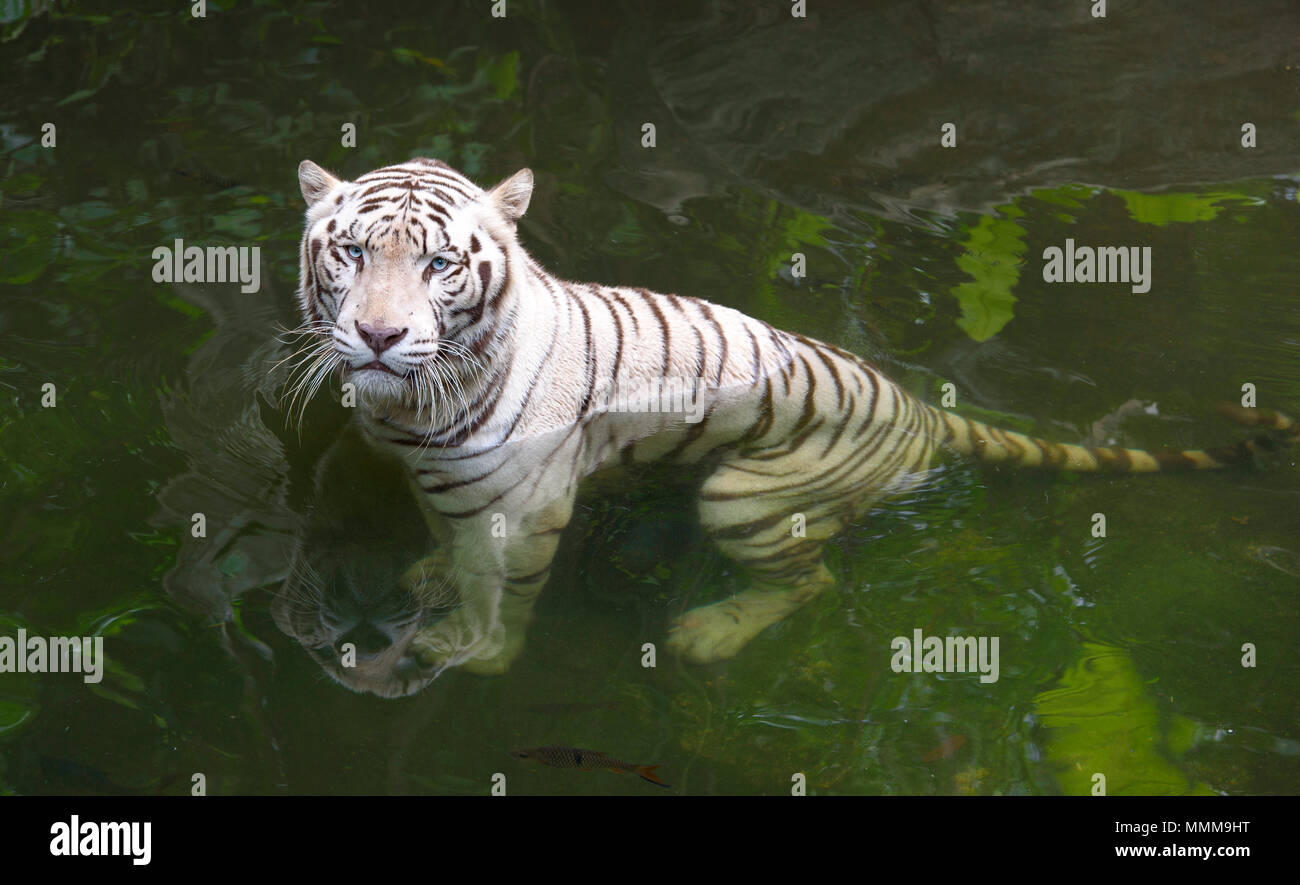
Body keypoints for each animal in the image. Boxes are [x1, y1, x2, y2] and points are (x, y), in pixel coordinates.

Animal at [286, 156, 1298, 697]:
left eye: (439, 264)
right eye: (351, 252)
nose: (378, 335)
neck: (408, 407)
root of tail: (921, 404)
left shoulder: (526, 508)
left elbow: (504, 599)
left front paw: (478, 655)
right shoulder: (436, 485)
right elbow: (446, 546)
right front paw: (429, 575)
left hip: (746, 494)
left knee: (810, 583)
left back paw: (709, 632)